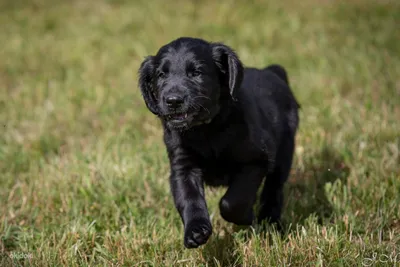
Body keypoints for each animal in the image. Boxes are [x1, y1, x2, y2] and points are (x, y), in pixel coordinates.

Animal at [139, 37, 298, 249]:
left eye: (196, 73)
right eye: (161, 74)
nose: (173, 100)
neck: (206, 130)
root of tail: (272, 71)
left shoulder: (256, 160)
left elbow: (233, 201)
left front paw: (246, 216)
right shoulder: (183, 167)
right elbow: (189, 199)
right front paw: (196, 231)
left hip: (284, 153)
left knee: (274, 189)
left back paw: (270, 222)